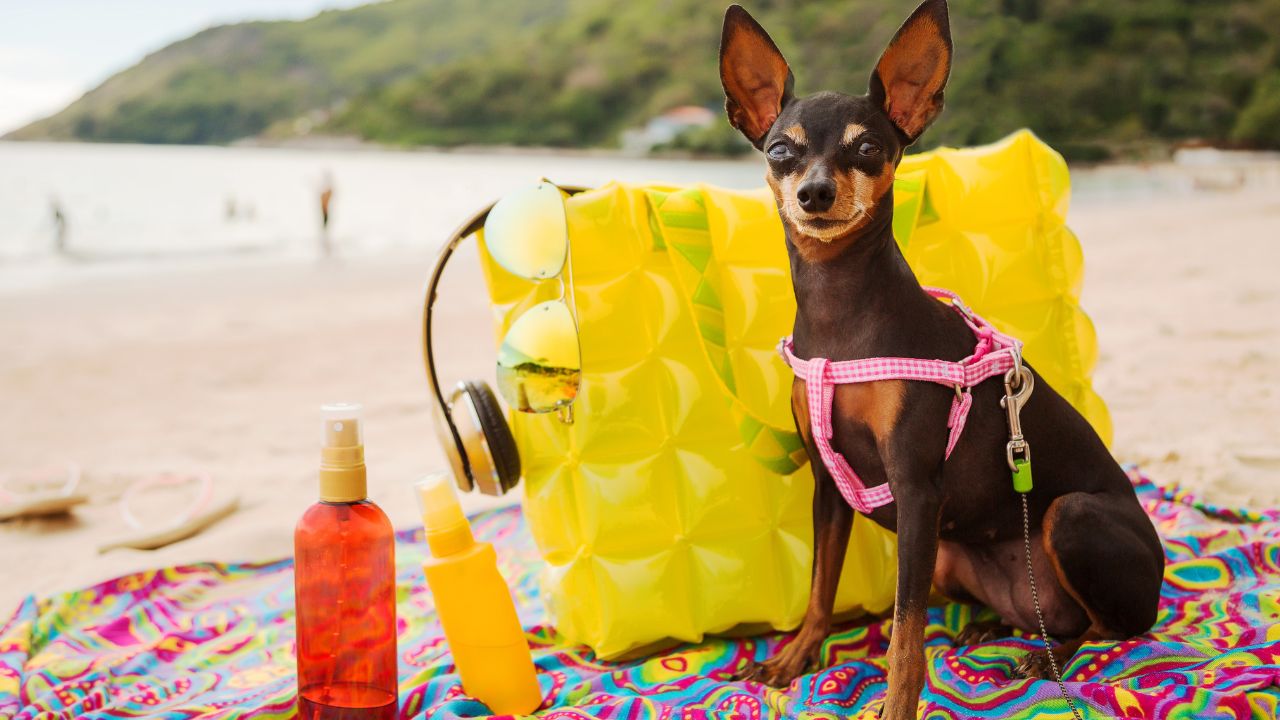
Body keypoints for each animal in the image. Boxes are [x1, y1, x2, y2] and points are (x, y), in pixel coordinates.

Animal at [721, 2, 1172, 712]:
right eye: (780, 151)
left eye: (868, 147)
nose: (815, 193)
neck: (841, 311)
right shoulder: (829, 486)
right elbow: (821, 588)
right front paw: (796, 657)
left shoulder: (916, 490)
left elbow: (905, 634)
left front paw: (897, 706)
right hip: (953, 552)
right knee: (1049, 615)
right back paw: (994, 628)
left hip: (1065, 519)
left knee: (1116, 628)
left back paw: (1049, 657)